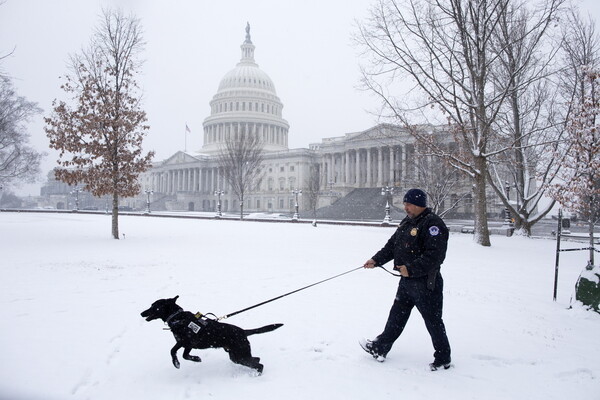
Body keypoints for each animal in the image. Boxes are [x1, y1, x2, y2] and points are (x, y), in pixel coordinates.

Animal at [141, 296, 284, 374]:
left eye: (154, 306)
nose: (142, 313)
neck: (177, 317)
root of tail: (243, 331)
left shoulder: (185, 342)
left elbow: (172, 351)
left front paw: (176, 363)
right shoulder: (189, 345)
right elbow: (185, 355)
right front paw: (196, 358)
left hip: (240, 355)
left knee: (260, 364)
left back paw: (257, 375)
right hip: (236, 356)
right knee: (257, 359)